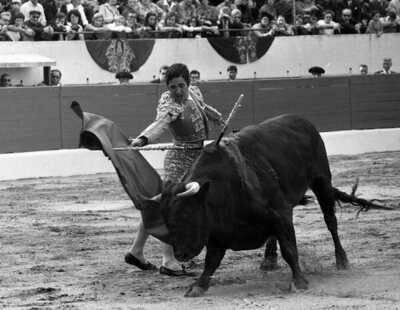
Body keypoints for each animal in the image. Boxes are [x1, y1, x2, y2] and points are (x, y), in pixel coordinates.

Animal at [73, 104, 386, 298]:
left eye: (187, 215)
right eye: (167, 220)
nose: (182, 254)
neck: (222, 190)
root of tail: (301, 120)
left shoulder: (280, 211)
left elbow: (290, 248)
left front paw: (299, 282)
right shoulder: (220, 230)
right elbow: (212, 261)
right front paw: (197, 287)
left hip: (321, 179)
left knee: (330, 221)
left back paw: (342, 260)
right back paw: (268, 261)